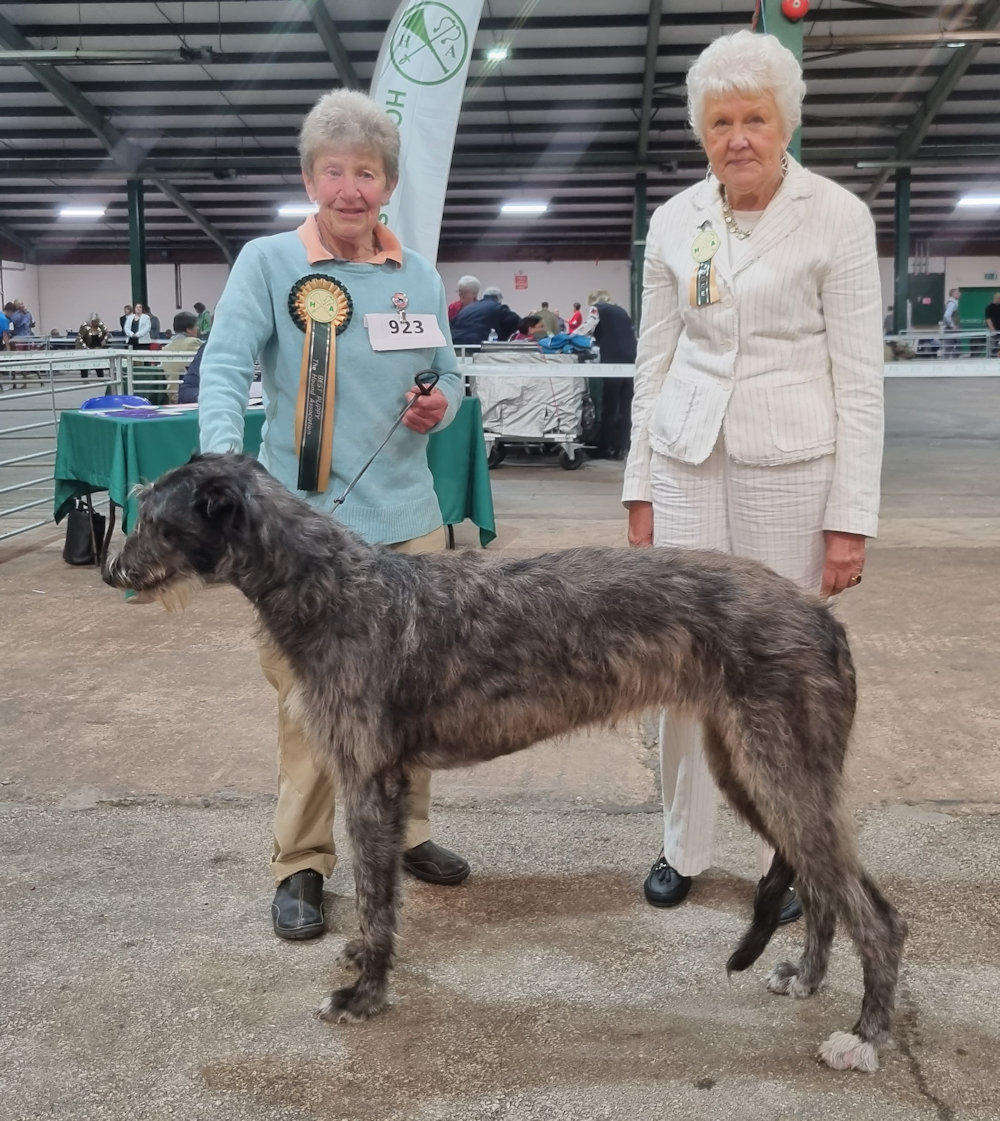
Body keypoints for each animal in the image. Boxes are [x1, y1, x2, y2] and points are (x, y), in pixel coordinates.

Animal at [101, 452, 905, 1067]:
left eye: (156, 519)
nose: (112, 572)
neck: (331, 589)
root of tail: (821, 615)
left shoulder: (369, 778)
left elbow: (378, 897)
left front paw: (366, 994)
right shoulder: (371, 776)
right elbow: (372, 898)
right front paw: (360, 960)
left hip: (781, 767)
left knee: (877, 914)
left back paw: (863, 1037)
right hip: (755, 769)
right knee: (830, 889)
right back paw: (807, 978)